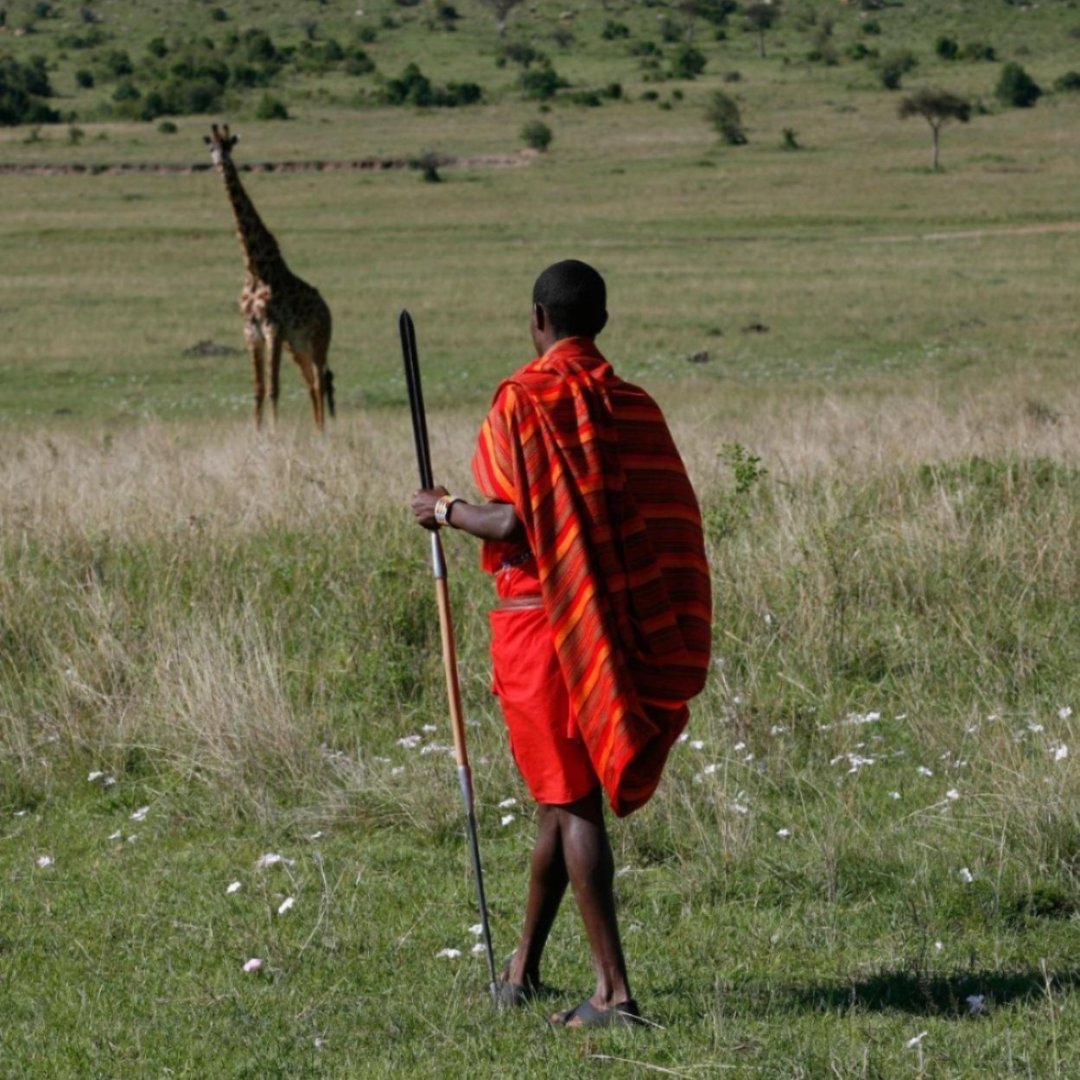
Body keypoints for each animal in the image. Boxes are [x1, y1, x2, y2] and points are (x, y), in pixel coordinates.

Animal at [203, 125, 332, 429]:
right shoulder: (252, 331)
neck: (254, 268)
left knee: (320, 381)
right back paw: (317, 429)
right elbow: (258, 389)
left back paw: (323, 432)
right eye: (211, 148)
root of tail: (327, 309)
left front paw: (274, 432)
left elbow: (274, 387)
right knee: (310, 383)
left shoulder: (273, 328)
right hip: (297, 344)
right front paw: (258, 432)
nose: (221, 164)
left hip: (319, 338)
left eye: (229, 146)